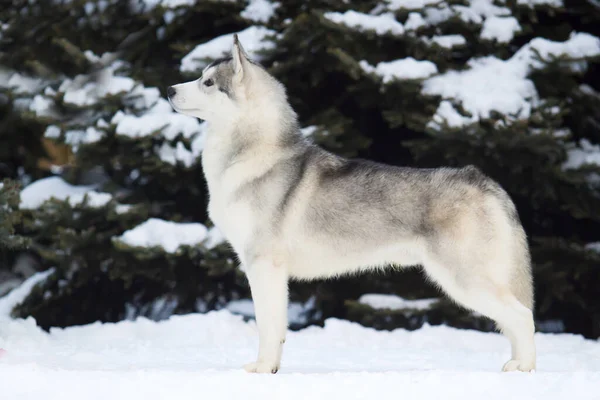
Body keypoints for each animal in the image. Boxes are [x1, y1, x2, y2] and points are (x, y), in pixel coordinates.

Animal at [166, 35, 536, 376]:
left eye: (208, 82)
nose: (168, 89)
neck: (251, 154)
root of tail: (485, 181)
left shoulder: (263, 265)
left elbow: (267, 326)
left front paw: (263, 368)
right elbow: (277, 327)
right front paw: (272, 368)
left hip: (465, 280)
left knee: (523, 315)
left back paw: (525, 367)